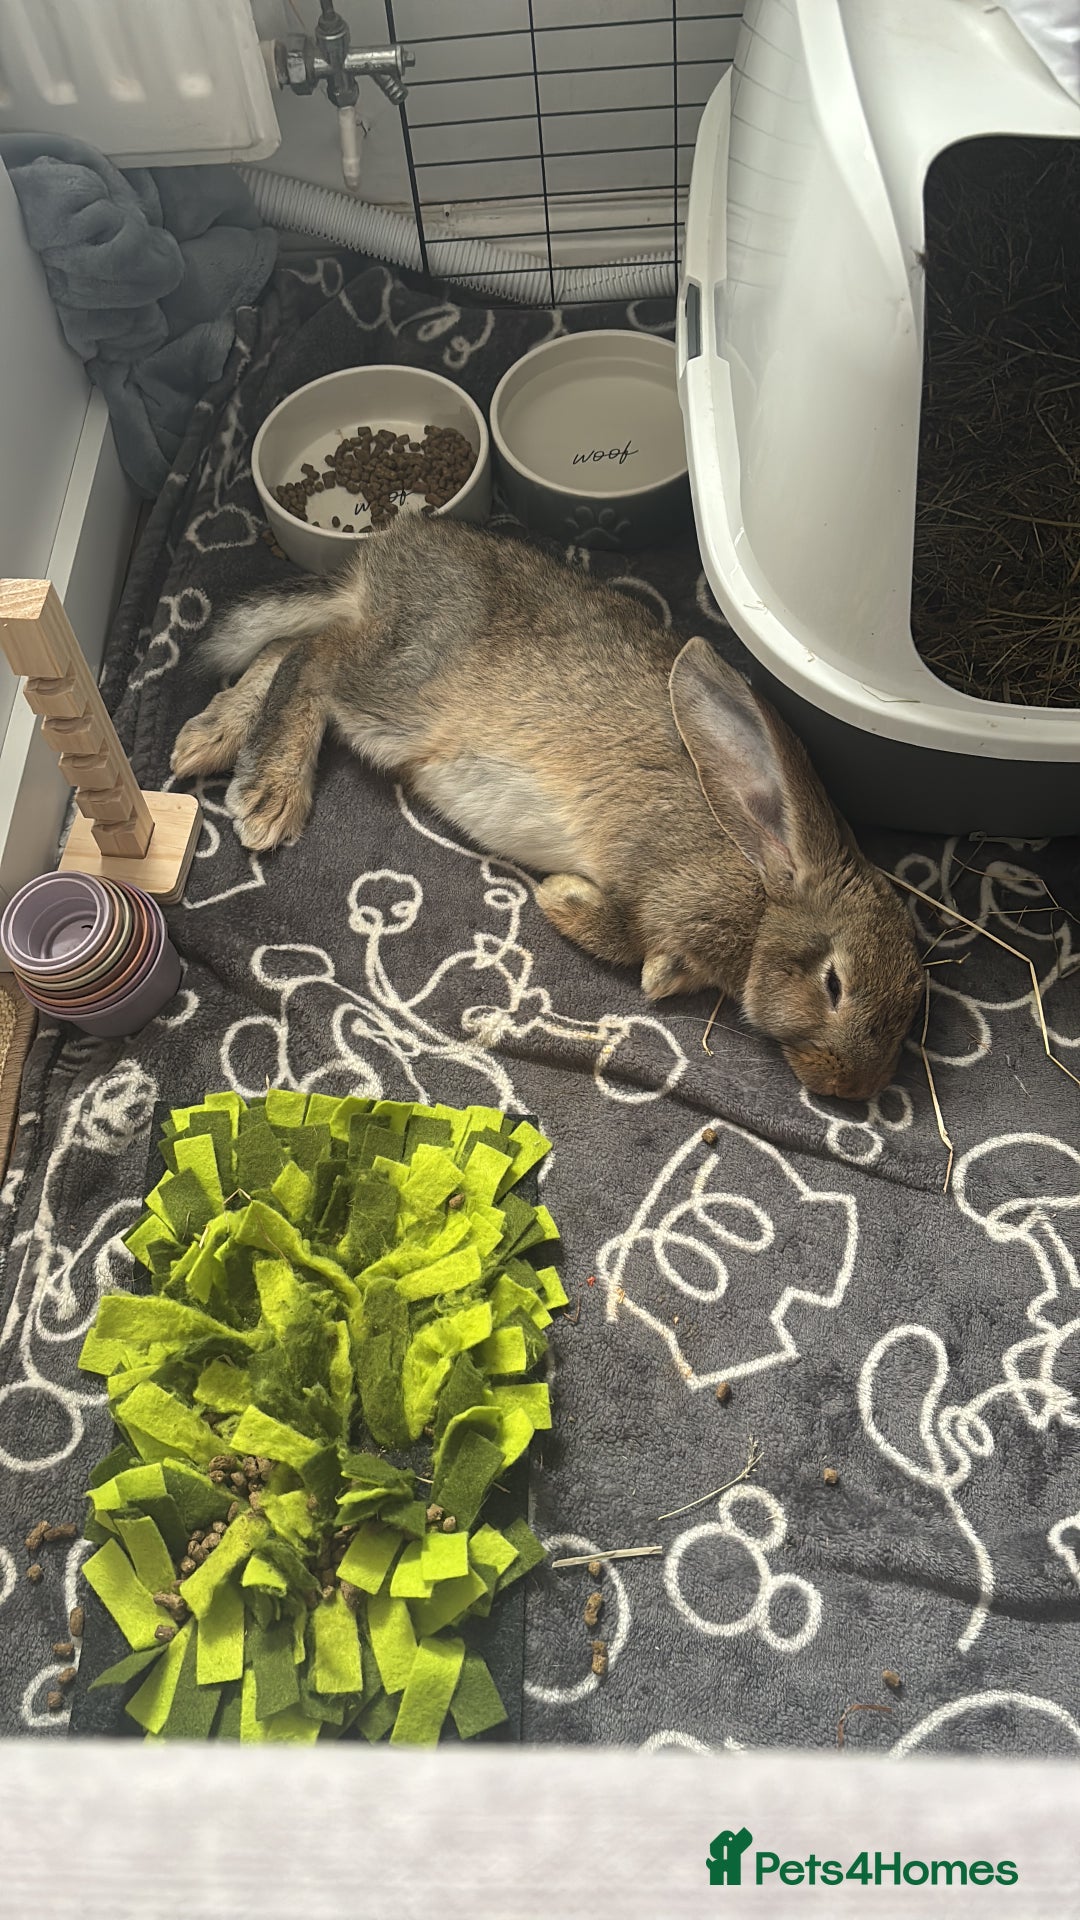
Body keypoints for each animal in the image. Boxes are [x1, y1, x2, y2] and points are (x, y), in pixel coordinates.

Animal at [172, 513, 924, 1099]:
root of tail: (384, 555)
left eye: (914, 998)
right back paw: (268, 794)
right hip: (399, 700)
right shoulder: (667, 892)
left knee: (284, 645)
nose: (854, 1090)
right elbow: (626, 938)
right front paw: (569, 901)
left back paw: (207, 738)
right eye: (834, 984)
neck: (766, 887)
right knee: (313, 657)